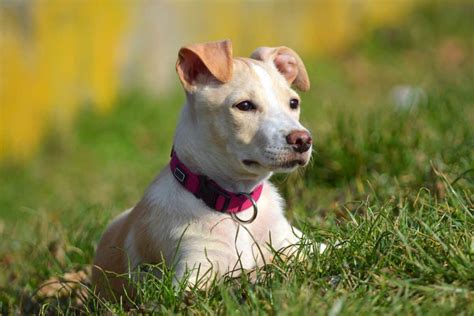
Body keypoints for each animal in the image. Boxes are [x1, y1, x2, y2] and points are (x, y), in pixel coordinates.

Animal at [92, 39, 314, 298]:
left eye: (293, 103)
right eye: (244, 106)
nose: (303, 140)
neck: (236, 209)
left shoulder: (293, 242)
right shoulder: (190, 278)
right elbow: (235, 279)